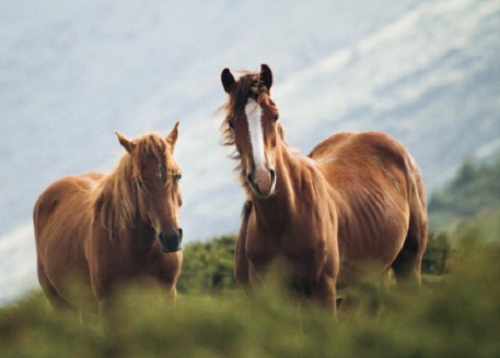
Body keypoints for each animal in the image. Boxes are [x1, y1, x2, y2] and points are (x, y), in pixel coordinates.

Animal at [34, 122, 185, 316]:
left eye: (178, 176)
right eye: (140, 182)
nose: (171, 238)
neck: (138, 252)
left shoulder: (167, 298)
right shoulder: (109, 309)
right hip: (62, 306)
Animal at [219, 64, 426, 314]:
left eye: (275, 115)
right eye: (231, 122)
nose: (262, 179)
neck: (286, 218)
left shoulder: (323, 291)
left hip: (409, 263)